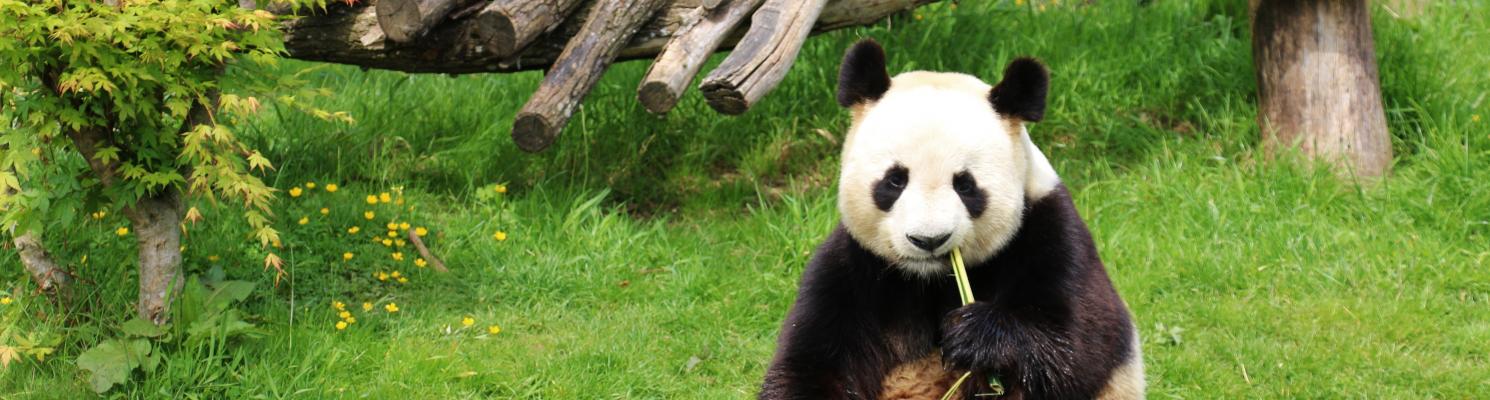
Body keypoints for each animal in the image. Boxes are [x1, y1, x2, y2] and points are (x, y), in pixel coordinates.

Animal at [762, 39, 1144, 400]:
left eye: (965, 185)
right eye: (895, 180)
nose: (929, 240)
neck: (931, 280)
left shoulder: (1050, 233)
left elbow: (1076, 343)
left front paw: (971, 333)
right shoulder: (853, 267)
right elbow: (811, 361)